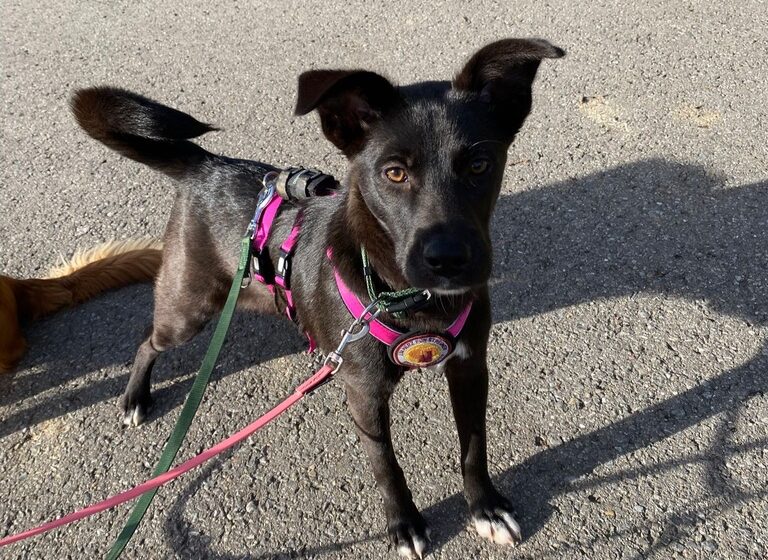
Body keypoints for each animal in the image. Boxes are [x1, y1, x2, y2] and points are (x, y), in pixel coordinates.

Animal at [72, 38, 564, 558]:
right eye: (394, 173)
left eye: (478, 165)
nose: (449, 259)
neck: (404, 297)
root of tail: (208, 165)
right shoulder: (365, 393)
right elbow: (385, 463)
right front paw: (404, 523)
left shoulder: (469, 367)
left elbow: (473, 444)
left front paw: (485, 506)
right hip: (190, 306)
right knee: (149, 339)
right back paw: (134, 396)